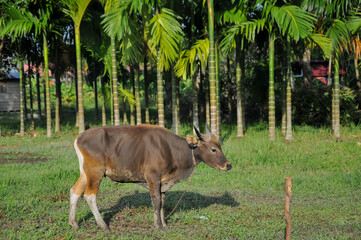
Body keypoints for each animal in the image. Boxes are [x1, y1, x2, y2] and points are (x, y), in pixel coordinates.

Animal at [67, 123, 231, 232]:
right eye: (213, 149)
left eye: (220, 146)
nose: (228, 165)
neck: (171, 150)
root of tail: (79, 137)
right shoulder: (153, 178)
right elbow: (156, 201)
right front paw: (158, 226)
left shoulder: (162, 182)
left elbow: (162, 202)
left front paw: (164, 224)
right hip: (96, 173)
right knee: (89, 196)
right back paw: (103, 225)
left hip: (85, 173)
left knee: (74, 191)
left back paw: (73, 223)